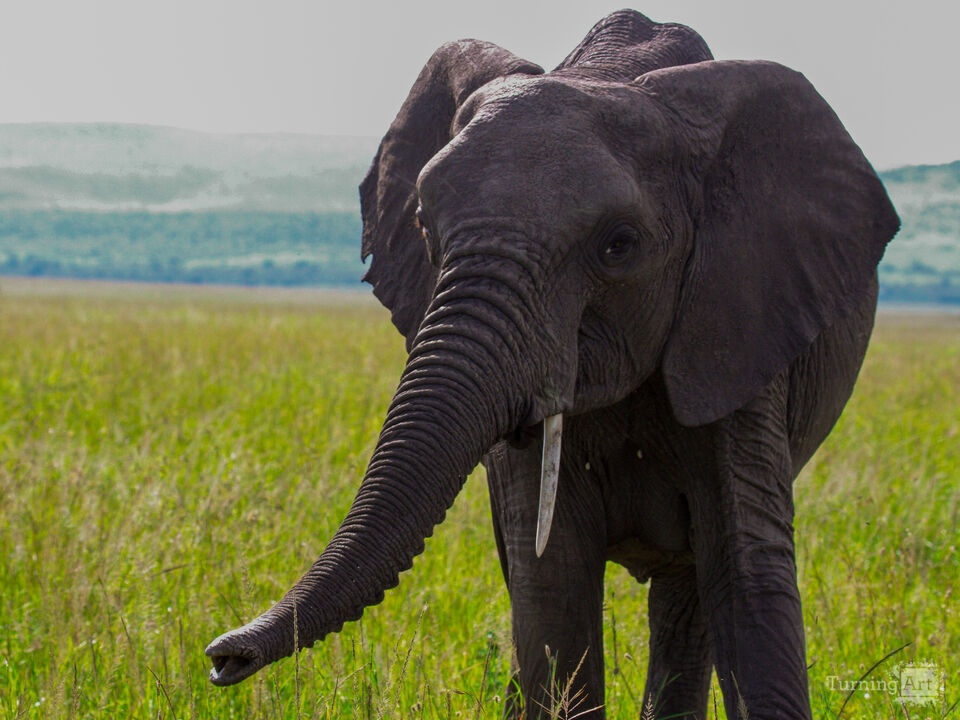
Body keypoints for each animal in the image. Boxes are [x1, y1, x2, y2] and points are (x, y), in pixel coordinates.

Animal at [205, 10, 899, 720]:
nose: (222, 658)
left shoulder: (738, 321)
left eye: (619, 245)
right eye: (424, 224)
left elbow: (747, 567)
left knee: (688, 595)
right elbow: (553, 588)